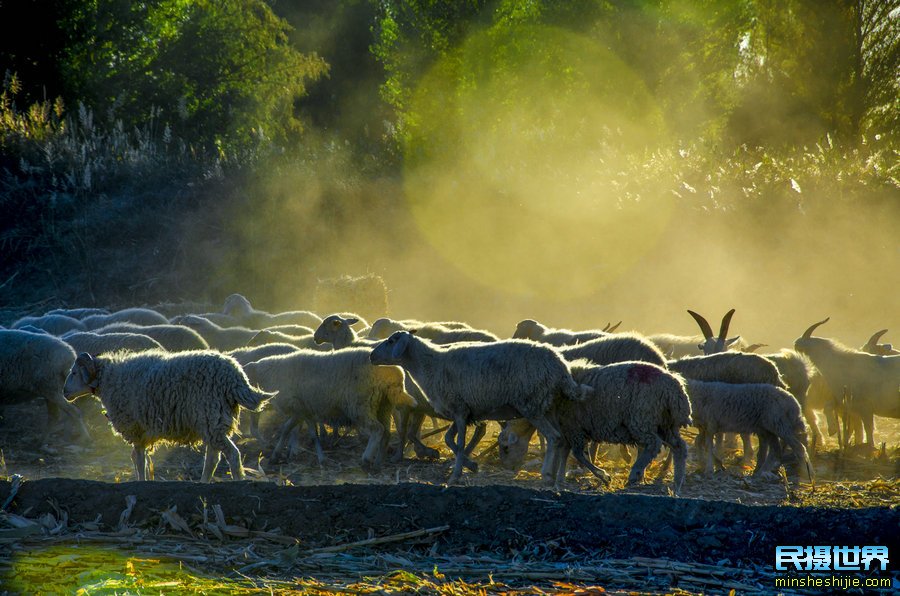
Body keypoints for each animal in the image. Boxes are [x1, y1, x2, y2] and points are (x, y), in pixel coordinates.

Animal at [62, 352, 274, 482]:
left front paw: (141, 480)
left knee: (232, 454)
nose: (64, 392)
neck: (109, 379)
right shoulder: (141, 432)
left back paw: (236, 481)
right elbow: (138, 457)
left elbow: (139, 459)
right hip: (212, 421)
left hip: (211, 416)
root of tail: (236, 378)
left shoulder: (134, 427)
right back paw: (203, 482)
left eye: (74, 372)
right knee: (213, 458)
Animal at [241, 350, 414, 470]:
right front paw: (321, 458)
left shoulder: (298, 408)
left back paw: (366, 459)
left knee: (377, 430)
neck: (271, 376)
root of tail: (396, 374)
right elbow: (308, 434)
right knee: (386, 433)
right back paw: (378, 463)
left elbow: (287, 429)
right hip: (383, 406)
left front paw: (277, 454)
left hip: (360, 406)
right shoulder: (305, 410)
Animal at [368, 330, 592, 484]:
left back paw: (546, 475)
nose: (371, 356)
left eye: (391, 341)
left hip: (532, 405)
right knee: (560, 438)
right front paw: (471, 465)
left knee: (553, 437)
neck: (429, 365)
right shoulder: (463, 411)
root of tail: (560, 366)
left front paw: (456, 475)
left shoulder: (459, 409)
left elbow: (458, 443)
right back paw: (553, 476)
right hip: (548, 406)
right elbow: (449, 439)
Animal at [500, 360, 688, 496]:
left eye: (506, 447)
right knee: (680, 447)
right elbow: (565, 453)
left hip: (642, 419)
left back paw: (635, 473)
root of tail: (675, 387)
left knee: (654, 444)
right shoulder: (567, 430)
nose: (508, 469)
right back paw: (677, 483)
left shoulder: (574, 428)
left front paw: (604, 476)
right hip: (665, 424)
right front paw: (559, 479)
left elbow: (579, 455)